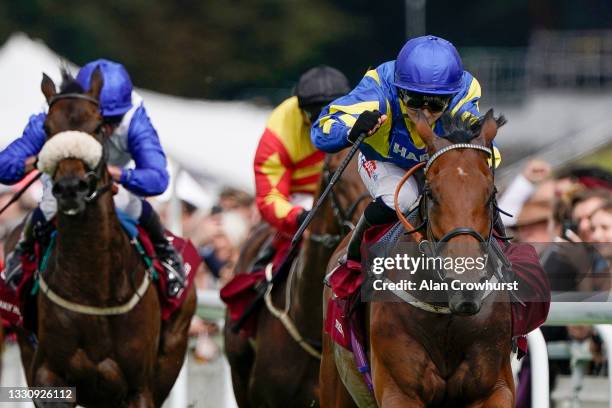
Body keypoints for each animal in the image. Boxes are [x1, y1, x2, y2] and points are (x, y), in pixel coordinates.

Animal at [320, 111, 516, 408]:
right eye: (432, 193)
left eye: (491, 193)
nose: (465, 283)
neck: (445, 311)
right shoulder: (400, 391)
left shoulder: (494, 387)